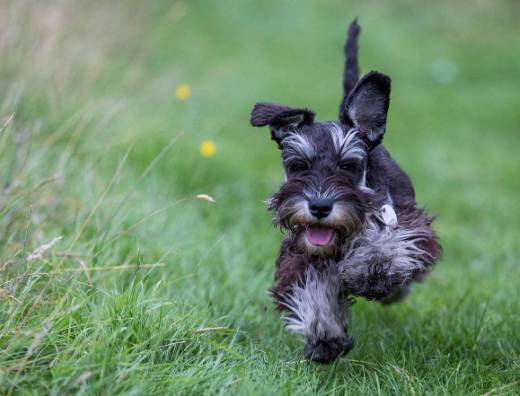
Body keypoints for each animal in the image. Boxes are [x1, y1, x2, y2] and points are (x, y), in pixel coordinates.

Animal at [250, 20, 440, 364]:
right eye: (298, 165)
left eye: (348, 166)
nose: (320, 206)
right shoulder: (300, 257)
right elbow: (313, 291)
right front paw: (325, 337)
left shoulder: (405, 220)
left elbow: (385, 241)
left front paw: (372, 268)